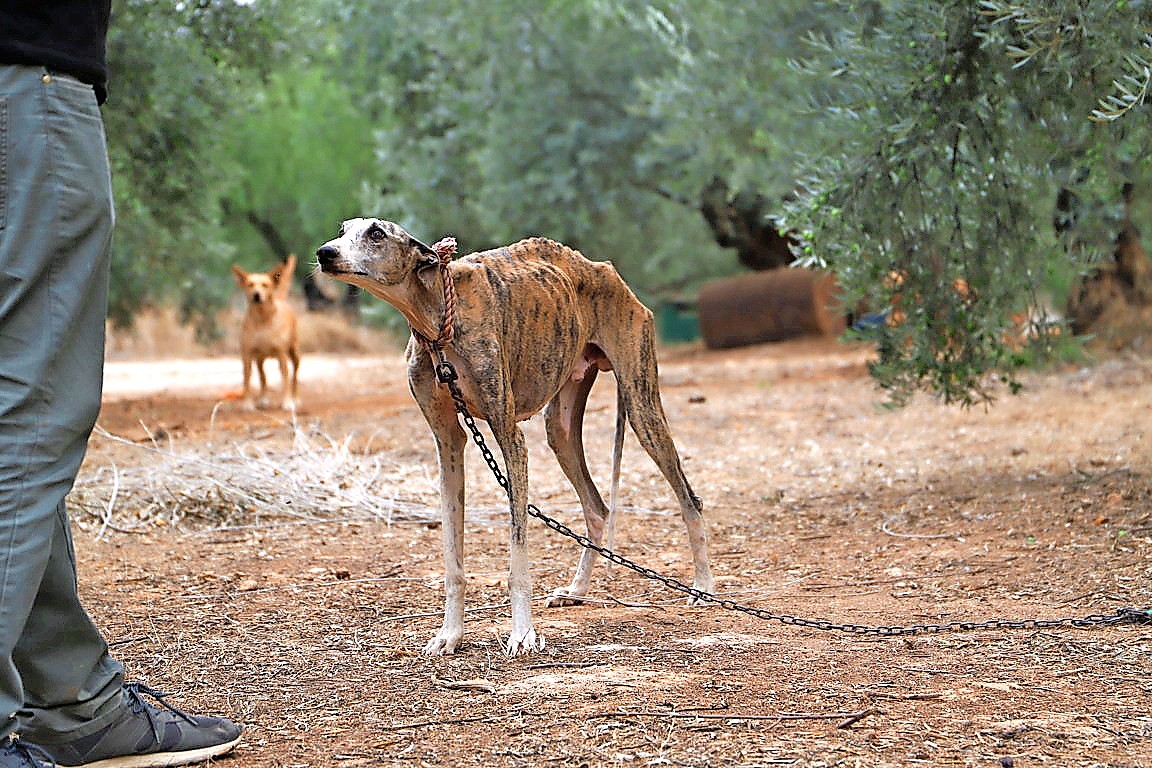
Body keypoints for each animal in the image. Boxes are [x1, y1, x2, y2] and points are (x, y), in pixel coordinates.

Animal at [229, 255, 299, 412]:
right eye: (250, 285)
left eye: (265, 285)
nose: (256, 295)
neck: (262, 320)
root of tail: (280, 299)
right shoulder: (247, 355)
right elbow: (247, 380)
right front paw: (247, 403)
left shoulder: (282, 355)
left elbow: (286, 378)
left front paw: (287, 402)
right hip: (259, 359)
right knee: (263, 377)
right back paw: (263, 399)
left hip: (294, 353)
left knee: (294, 376)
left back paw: (295, 398)